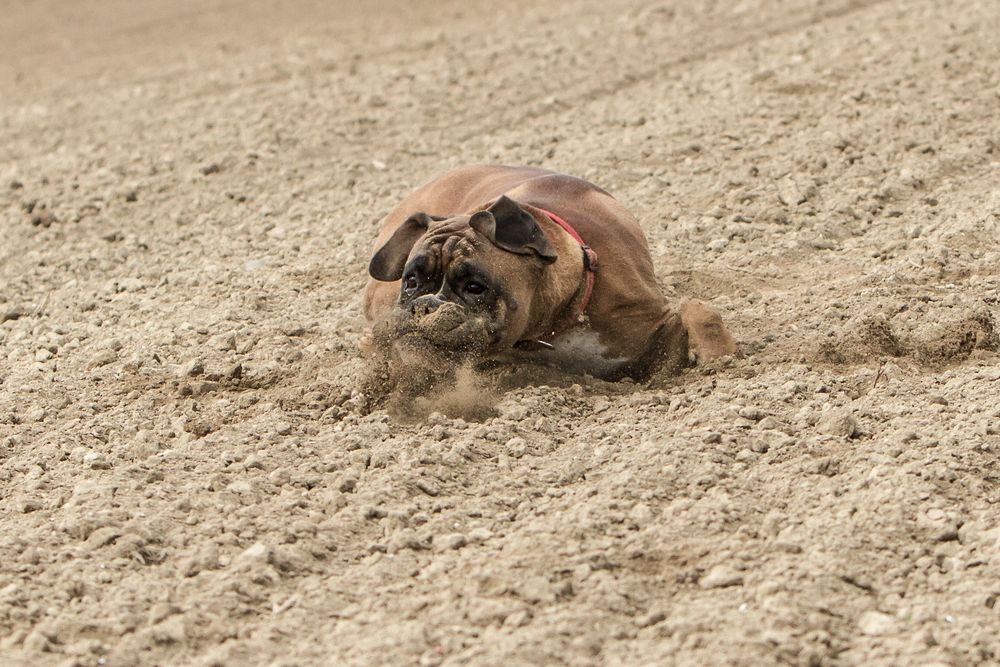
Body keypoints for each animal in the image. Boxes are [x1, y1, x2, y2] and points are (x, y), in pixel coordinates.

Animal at [364, 164, 740, 378]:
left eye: (475, 287)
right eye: (412, 281)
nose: (425, 305)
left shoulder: (653, 327)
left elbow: (697, 307)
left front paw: (718, 356)